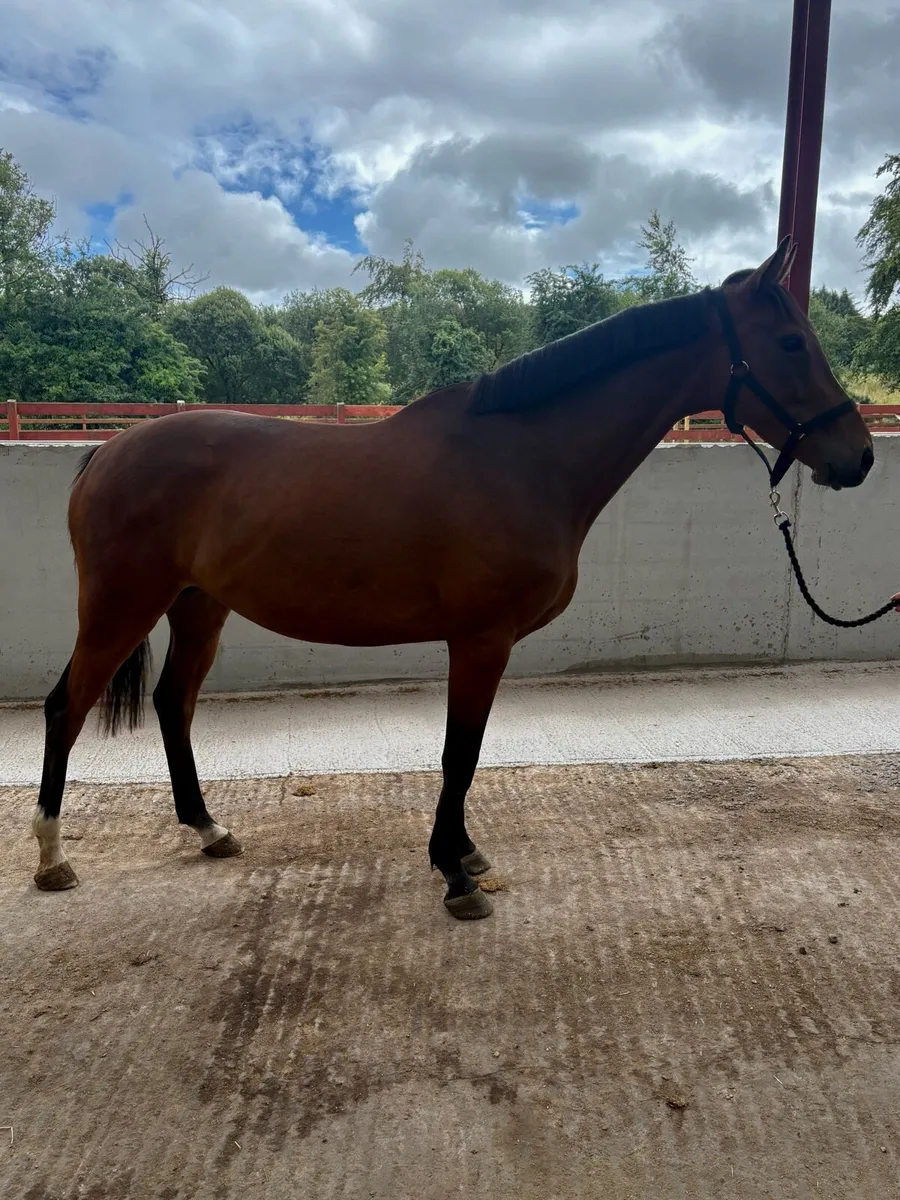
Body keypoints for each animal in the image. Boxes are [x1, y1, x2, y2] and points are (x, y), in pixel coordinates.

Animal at [31, 238, 873, 918]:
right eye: (791, 342)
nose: (859, 457)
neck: (522, 457)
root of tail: (107, 453)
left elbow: (464, 755)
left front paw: (463, 854)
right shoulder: (481, 639)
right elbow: (458, 753)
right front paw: (456, 876)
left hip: (199, 607)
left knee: (173, 704)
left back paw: (209, 828)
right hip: (121, 606)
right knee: (66, 706)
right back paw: (51, 858)